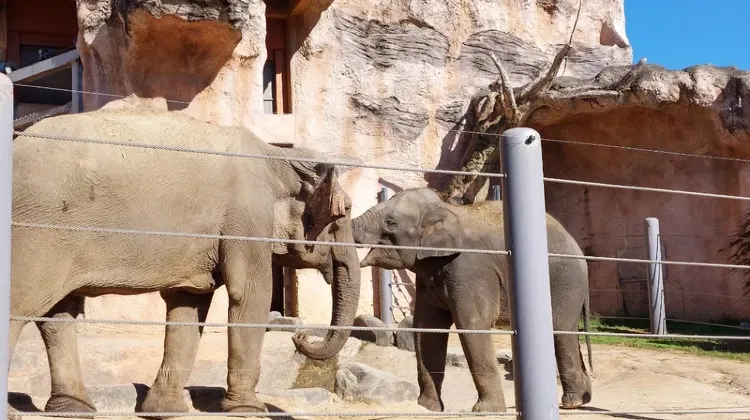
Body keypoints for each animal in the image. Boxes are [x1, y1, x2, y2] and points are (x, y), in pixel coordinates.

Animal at [10, 106, 362, 416]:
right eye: (343, 213)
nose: (301, 336)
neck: (276, 155)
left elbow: (188, 304)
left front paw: (163, 411)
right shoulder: (246, 217)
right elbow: (250, 294)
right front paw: (249, 410)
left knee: (58, 315)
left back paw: (74, 409)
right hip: (38, 228)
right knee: (24, 305)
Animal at [352, 188, 592, 414]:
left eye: (390, 223)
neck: (446, 209)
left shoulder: (469, 269)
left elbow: (473, 325)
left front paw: (487, 410)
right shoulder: (428, 273)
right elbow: (426, 330)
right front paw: (427, 408)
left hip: (566, 281)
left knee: (560, 332)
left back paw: (573, 402)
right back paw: (582, 399)